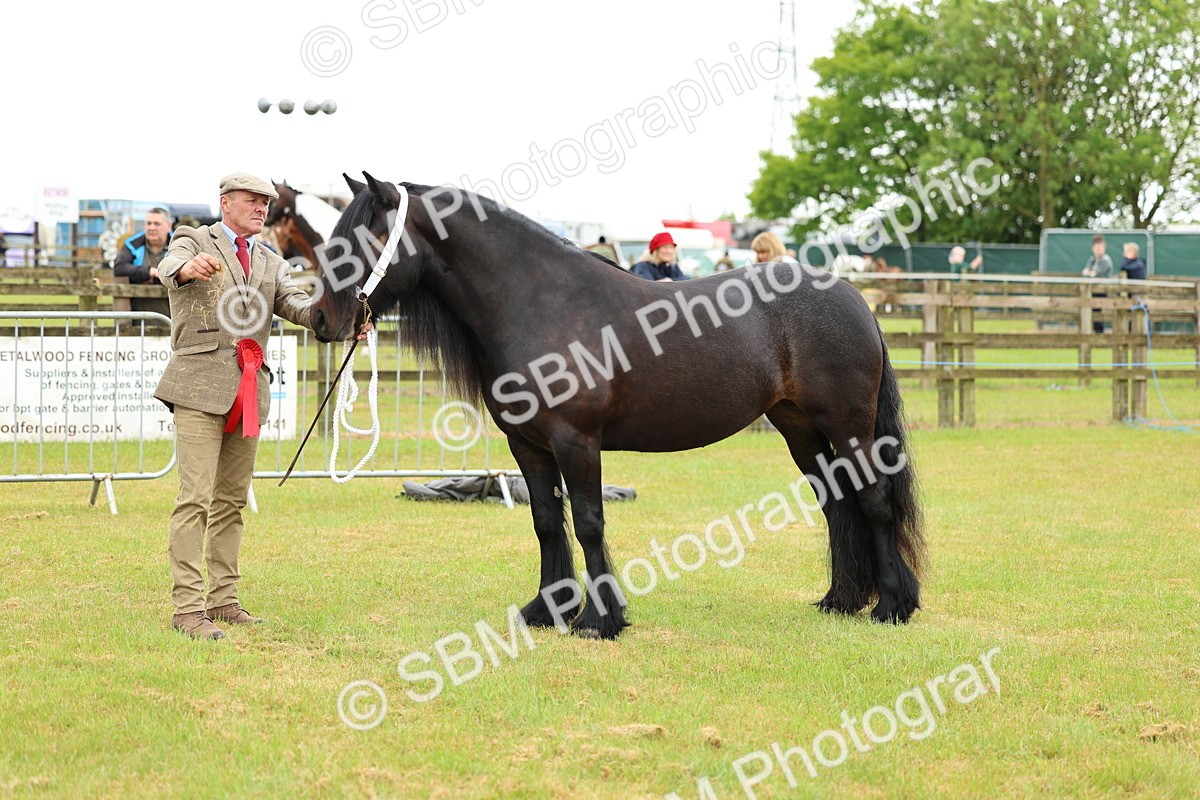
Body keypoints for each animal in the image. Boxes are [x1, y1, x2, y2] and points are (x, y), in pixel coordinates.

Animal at [310, 173, 925, 640]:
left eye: (363, 240)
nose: (319, 319)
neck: (538, 301)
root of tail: (853, 298)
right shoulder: (527, 445)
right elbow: (546, 522)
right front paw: (545, 611)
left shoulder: (576, 442)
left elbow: (588, 522)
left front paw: (600, 620)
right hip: (800, 429)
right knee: (837, 502)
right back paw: (840, 600)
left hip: (848, 426)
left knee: (872, 501)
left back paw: (890, 607)